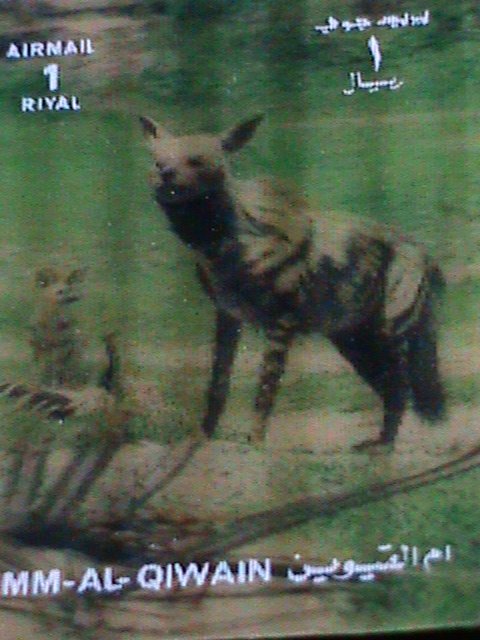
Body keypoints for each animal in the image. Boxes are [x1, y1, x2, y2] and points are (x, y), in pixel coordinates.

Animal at [140, 114, 446, 448]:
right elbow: (218, 386)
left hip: (389, 333)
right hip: (354, 341)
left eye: (195, 161)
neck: (224, 246)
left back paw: (385, 446)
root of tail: (422, 250)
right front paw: (202, 439)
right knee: (390, 389)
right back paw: (378, 443)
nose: (165, 177)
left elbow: (265, 393)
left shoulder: (280, 323)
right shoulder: (228, 317)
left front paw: (255, 443)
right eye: (158, 162)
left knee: (400, 387)